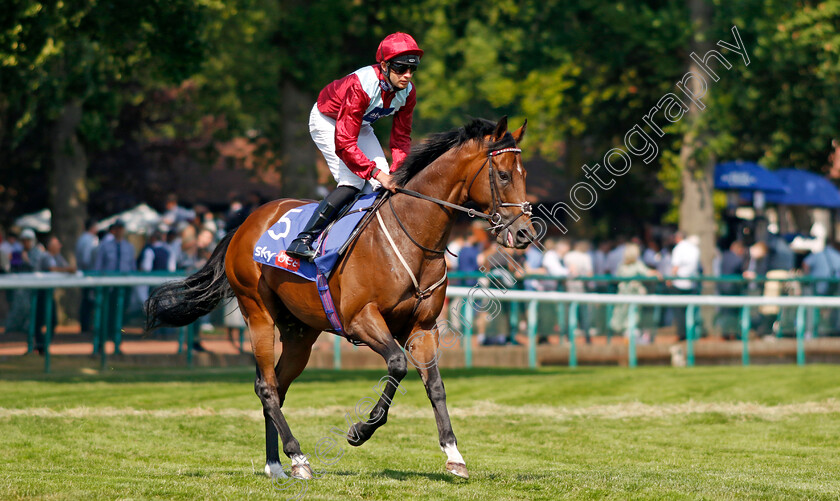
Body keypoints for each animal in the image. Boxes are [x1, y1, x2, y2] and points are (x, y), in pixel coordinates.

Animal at [145, 116, 536, 480]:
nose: (524, 233)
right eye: (503, 175)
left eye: (524, 173)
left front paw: (454, 455)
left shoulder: (423, 328)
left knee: (276, 386)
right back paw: (298, 457)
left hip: (299, 332)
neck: (413, 237)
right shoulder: (361, 319)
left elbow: (435, 386)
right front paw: (360, 430)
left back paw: (276, 464)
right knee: (266, 387)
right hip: (257, 311)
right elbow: (397, 364)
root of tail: (245, 223)